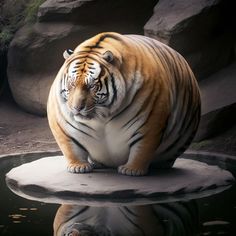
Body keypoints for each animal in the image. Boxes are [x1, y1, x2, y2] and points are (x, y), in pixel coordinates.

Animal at [47, 30, 201, 175]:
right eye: (72, 84)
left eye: (91, 86)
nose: (77, 108)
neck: (102, 116)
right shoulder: (61, 123)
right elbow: (69, 146)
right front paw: (78, 166)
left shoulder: (151, 122)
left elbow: (142, 148)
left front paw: (133, 170)